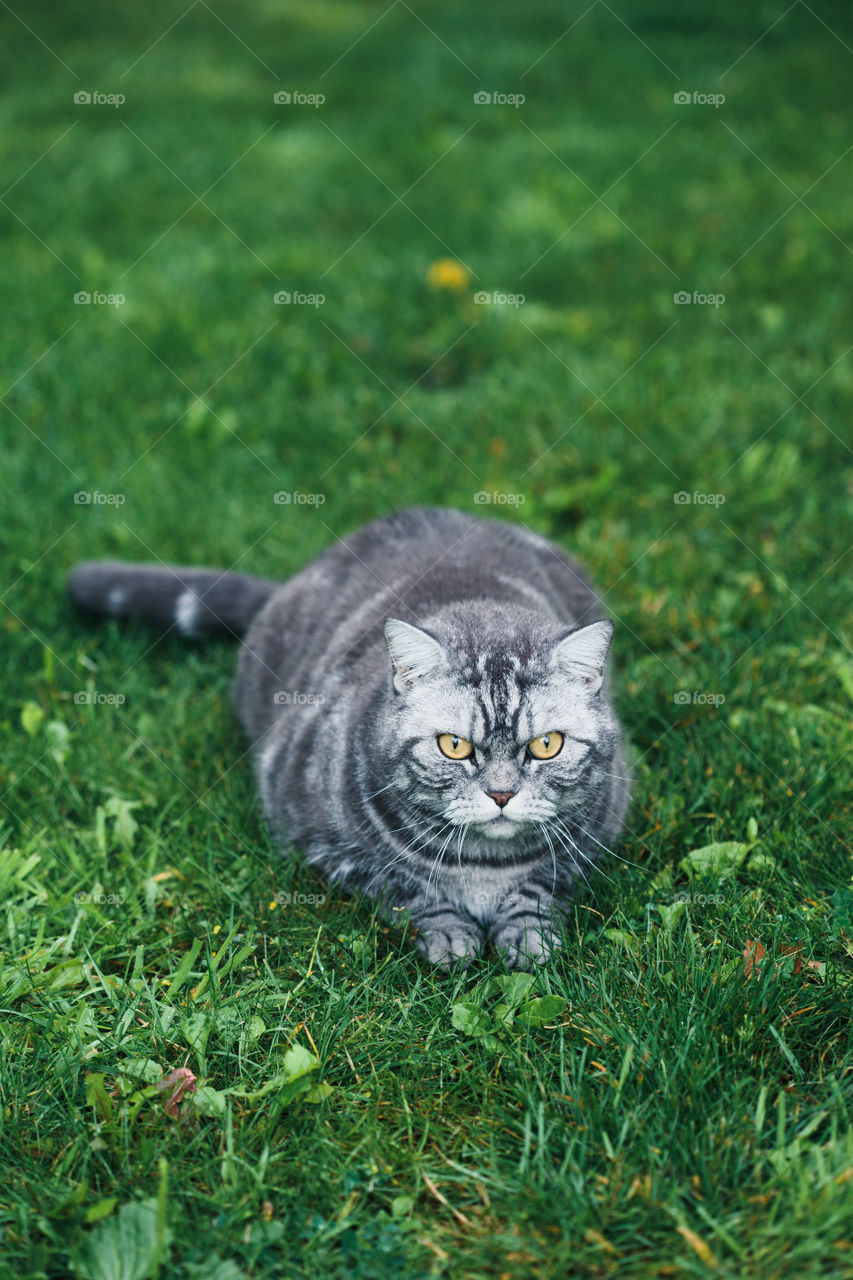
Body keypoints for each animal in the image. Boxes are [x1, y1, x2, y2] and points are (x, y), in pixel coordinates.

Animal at [68, 504, 625, 962]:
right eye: (455, 746)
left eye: (546, 746)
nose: (502, 794)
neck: (486, 870)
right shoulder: (321, 844)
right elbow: (406, 887)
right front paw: (450, 933)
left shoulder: (598, 837)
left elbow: (543, 884)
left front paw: (526, 934)